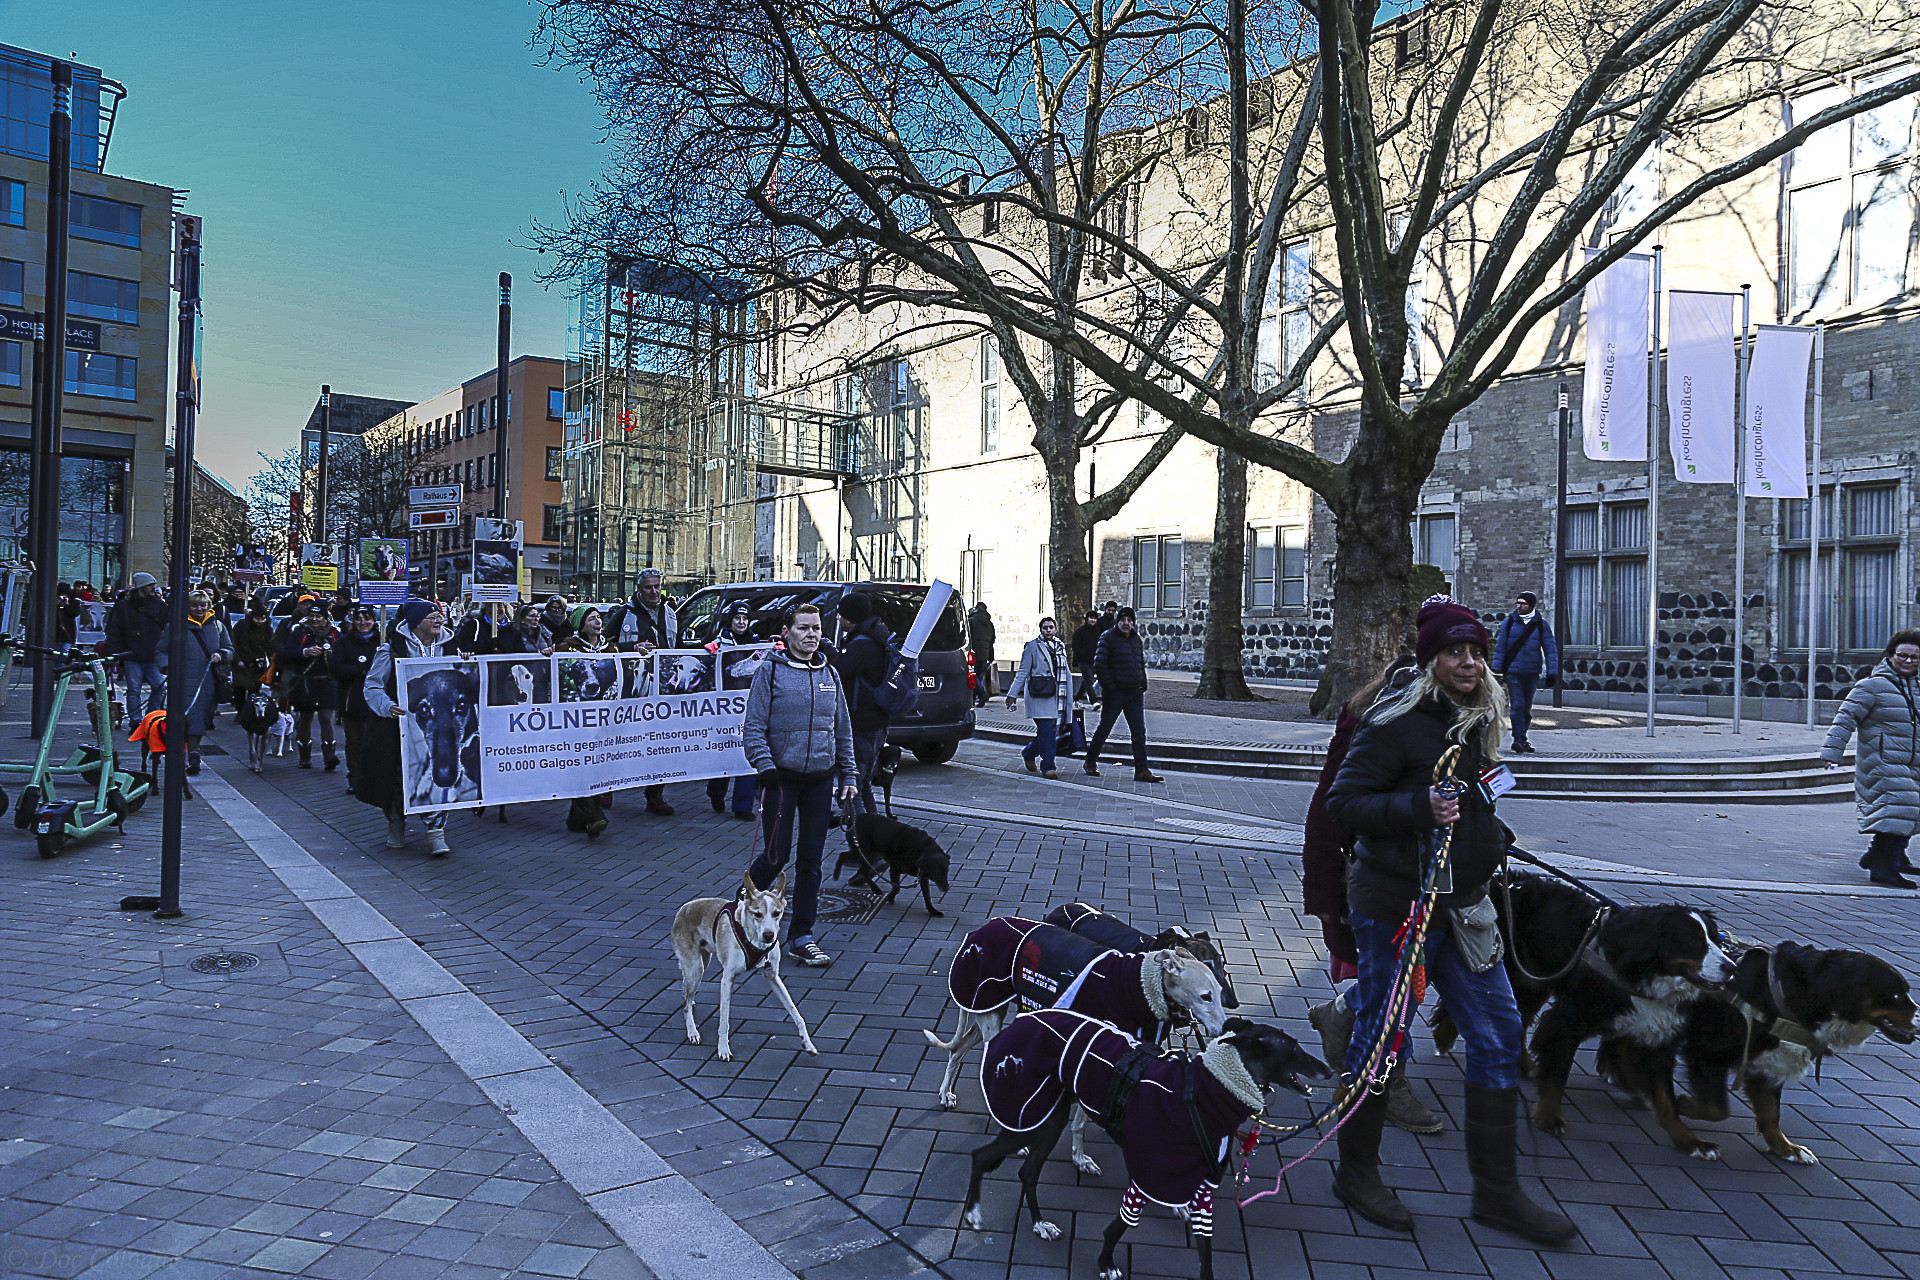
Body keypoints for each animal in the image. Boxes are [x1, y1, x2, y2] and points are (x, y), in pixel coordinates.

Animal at [671, 870, 818, 1062]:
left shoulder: (773, 977)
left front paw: (807, 1043)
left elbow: (795, 1012)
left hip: (701, 962)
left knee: (686, 994)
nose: (769, 935)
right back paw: (692, 1032)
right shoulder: (727, 980)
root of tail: (683, 909)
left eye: (777, 913)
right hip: (696, 968)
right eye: (757, 914)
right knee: (685, 1004)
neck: (753, 938)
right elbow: (724, 1020)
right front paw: (723, 1049)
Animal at [963, 1011, 1330, 1280]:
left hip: (1049, 1120)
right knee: (981, 1156)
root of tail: (1018, 1022)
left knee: (1027, 1173)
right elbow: (1119, 1226)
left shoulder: (1202, 1185)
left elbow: (1206, 1253)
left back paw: (1040, 1224)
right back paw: (974, 1214)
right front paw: (1106, 1264)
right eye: (1294, 1050)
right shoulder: (1146, 1174)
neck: (1203, 1090)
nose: (1328, 1069)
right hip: (1029, 1117)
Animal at [1608, 941, 1916, 1163]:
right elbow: (1716, 1108)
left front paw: (1786, 1148)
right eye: (1897, 995)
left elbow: (1770, 1114)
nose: (1918, 1015)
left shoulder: (1769, 1065)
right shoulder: (1707, 1053)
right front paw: (1682, 1103)